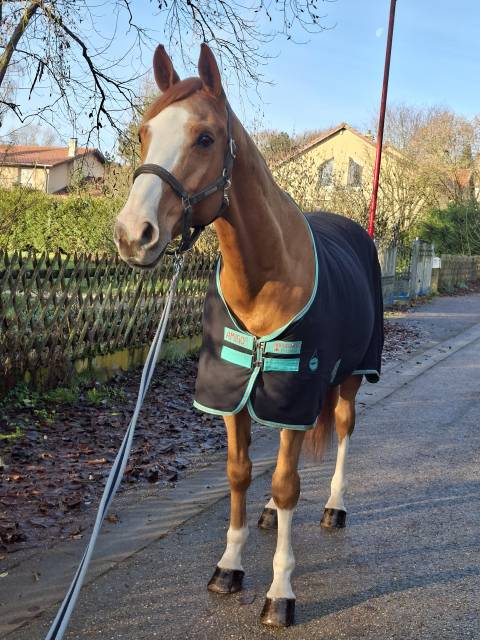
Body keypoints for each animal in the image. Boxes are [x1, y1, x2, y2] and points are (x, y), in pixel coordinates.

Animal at [114, 43, 384, 628]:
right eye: (145, 133)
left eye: (205, 138)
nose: (132, 235)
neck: (265, 280)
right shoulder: (233, 393)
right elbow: (240, 473)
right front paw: (229, 567)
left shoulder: (298, 392)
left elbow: (287, 482)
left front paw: (280, 593)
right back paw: (267, 514)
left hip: (351, 377)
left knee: (342, 432)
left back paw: (335, 507)